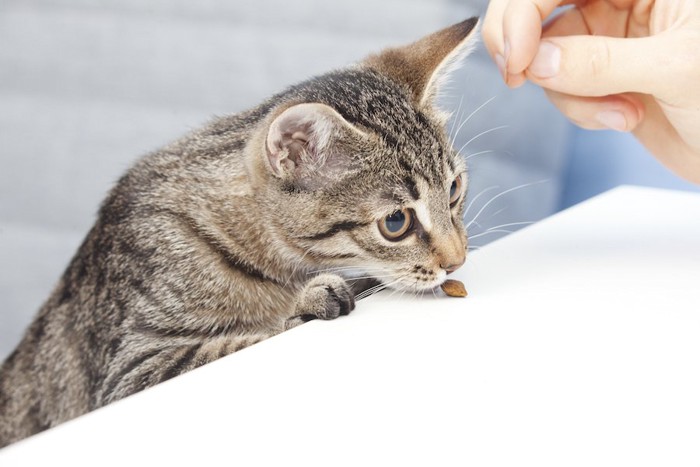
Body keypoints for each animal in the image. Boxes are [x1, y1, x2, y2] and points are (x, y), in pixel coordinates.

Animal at [0, 17, 476, 450]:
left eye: (454, 189)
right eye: (396, 223)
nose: (457, 260)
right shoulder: (131, 371)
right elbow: (239, 342)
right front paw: (305, 303)